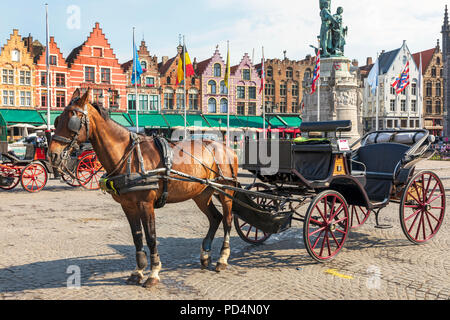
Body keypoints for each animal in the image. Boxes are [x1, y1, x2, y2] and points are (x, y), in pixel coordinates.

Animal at [48, 89, 239, 288]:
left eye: (72, 120)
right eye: (57, 120)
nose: (52, 154)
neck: (128, 156)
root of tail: (225, 147)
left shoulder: (146, 204)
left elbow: (151, 236)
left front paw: (153, 273)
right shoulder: (128, 205)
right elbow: (137, 236)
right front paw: (138, 271)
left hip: (226, 192)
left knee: (227, 220)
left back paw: (222, 258)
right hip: (201, 194)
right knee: (215, 218)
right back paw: (205, 255)